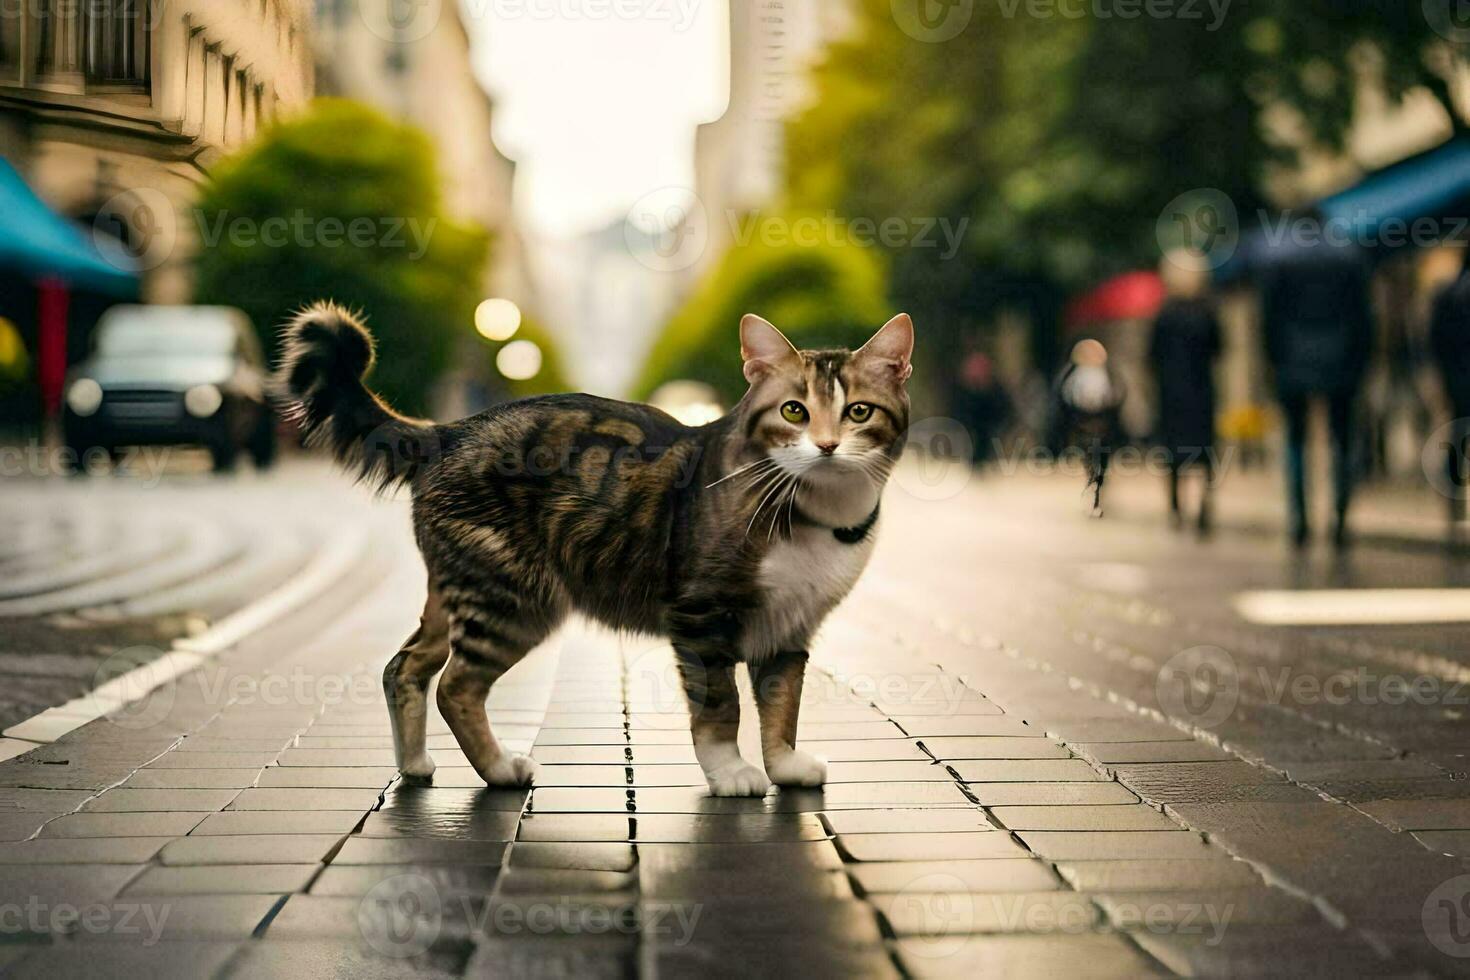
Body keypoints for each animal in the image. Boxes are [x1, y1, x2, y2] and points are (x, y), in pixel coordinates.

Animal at [276, 307, 911, 799]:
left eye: (858, 411)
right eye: (793, 411)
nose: (826, 445)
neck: (820, 514)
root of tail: (449, 431)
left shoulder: (790, 627)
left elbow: (782, 705)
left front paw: (784, 765)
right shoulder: (702, 615)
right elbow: (720, 705)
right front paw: (730, 772)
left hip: (456, 588)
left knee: (404, 667)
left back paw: (412, 764)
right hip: (512, 597)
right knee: (457, 687)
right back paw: (499, 768)